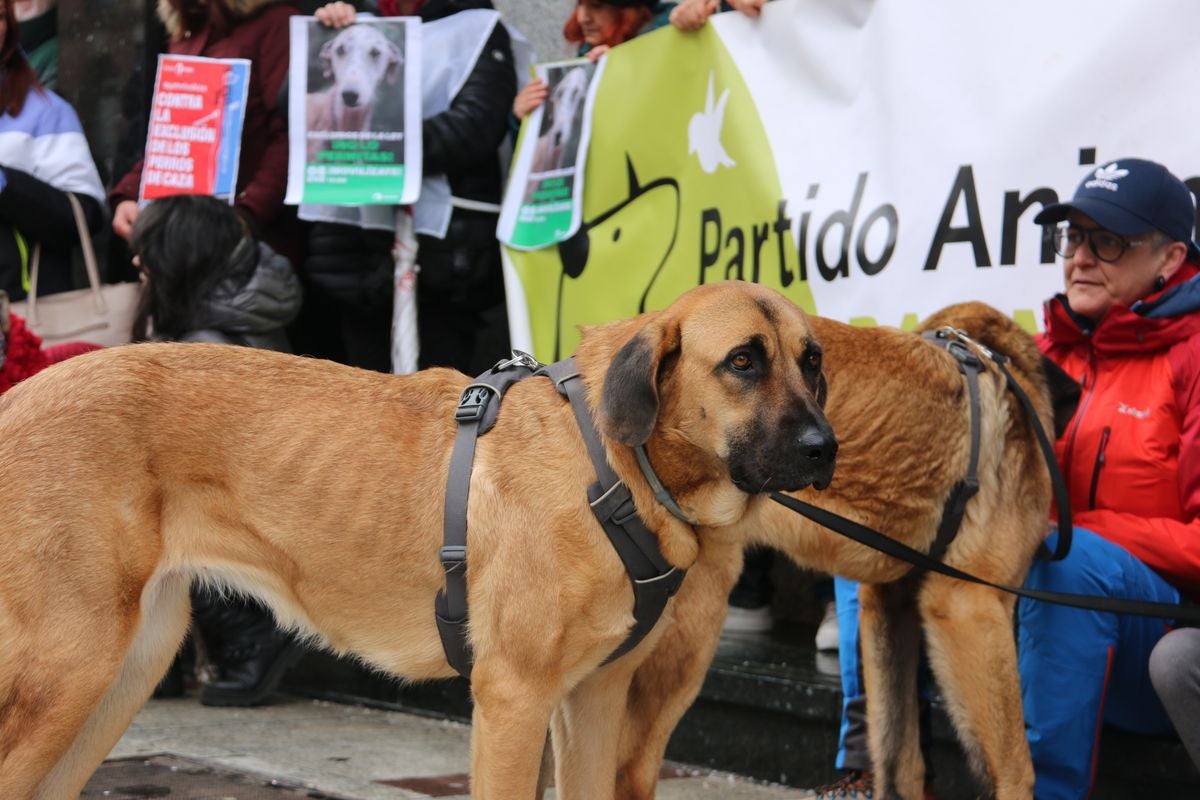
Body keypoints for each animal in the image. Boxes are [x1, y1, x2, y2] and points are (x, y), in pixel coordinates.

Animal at [0, 281, 835, 800]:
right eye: (742, 361)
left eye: (813, 361)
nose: (825, 448)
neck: (612, 464)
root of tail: (18, 396)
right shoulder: (513, 700)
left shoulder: (591, 701)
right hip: (68, 671)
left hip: (125, 668)